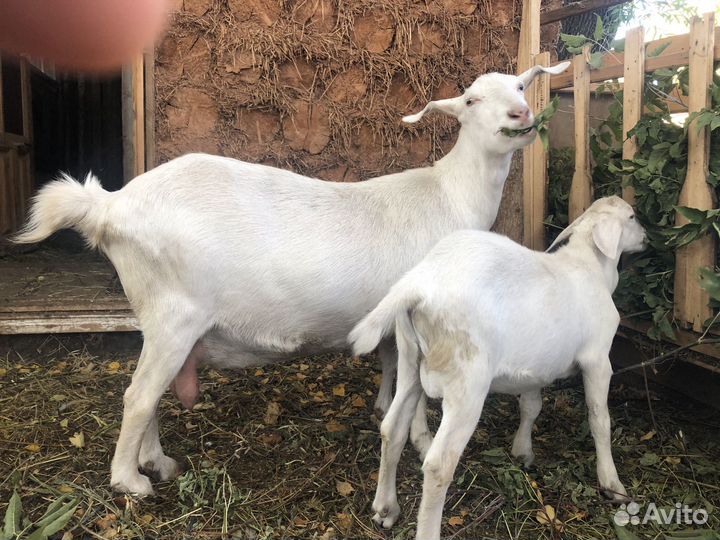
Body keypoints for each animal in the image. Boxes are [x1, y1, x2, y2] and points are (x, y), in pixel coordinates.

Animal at [14, 62, 570, 496]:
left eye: (521, 87)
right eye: (472, 100)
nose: (521, 116)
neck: (449, 194)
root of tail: (109, 206)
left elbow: (389, 366)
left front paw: (382, 406)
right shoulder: (417, 321)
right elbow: (411, 394)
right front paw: (418, 438)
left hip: (156, 316)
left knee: (148, 391)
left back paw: (158, 462)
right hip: (175, 314)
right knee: (138, 397)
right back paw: (131, 481)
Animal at [349, 196, 646, 540]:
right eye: (632, 216)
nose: (646, 237)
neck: (590, 268)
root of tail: (418, 287)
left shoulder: (536, 364)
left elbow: (531, 406)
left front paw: (522, 451)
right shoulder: (597, 359)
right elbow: (600, 420)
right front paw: (612, 484)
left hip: (410, 359)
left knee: (392, 429)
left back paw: (386, 508)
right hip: (467, 384)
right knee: (439, 464)